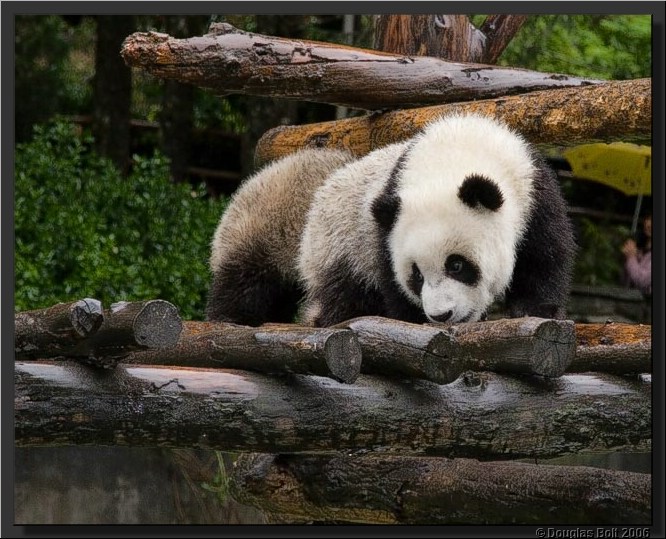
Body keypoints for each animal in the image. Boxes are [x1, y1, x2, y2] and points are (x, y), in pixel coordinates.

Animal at [297, 113, 576, 327]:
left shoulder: (533, 190)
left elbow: (544, 255)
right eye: (417, 275)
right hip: (341, 245)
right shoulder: (384, 229)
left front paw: (535, 309)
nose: (441, 315)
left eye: (456, 265)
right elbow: (392, 281)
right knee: (345, 293)